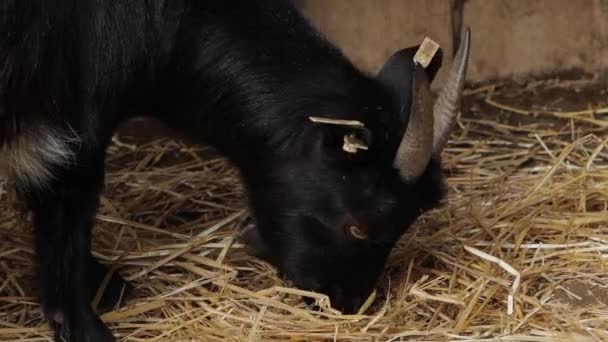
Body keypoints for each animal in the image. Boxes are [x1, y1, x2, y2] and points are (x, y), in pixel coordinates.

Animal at [0, 1, 470, 340]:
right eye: (357, 226)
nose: (346, 303)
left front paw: (102, 282)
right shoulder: (75, 106)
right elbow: (67, 203)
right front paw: (83, 322)